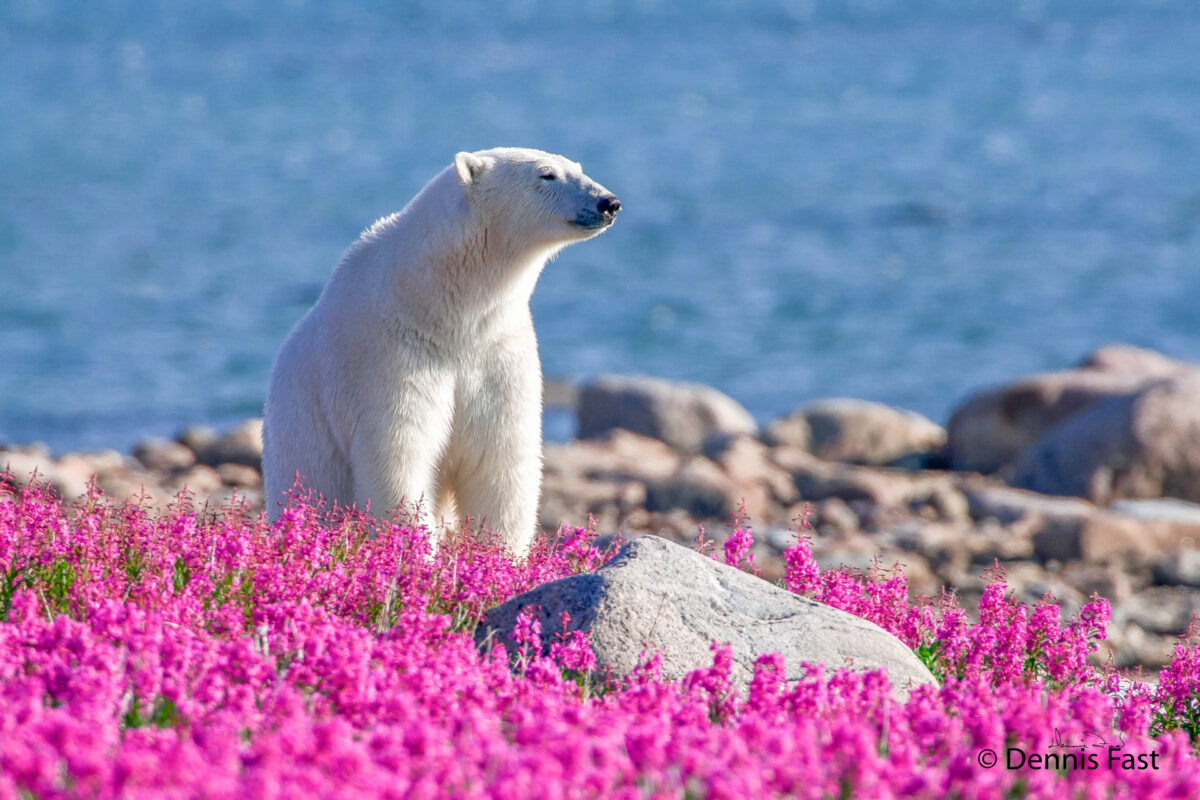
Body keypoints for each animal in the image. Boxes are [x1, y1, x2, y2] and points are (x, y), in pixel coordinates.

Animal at [260, 146, 619, 556]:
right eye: (547, 174)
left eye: (577, 167)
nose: (609, 202)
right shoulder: (387, 354)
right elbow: (399, 458)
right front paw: (419, 555)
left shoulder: (497, 352)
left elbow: (500, 460)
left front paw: (500, 557)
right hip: (300, 454)